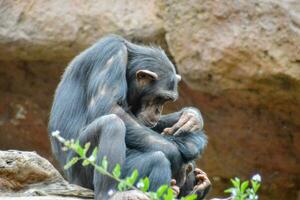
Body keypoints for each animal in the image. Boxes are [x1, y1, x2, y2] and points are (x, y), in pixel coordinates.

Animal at [48, 35, 210, 199]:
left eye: (166, 100)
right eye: (159, 98)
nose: (158, 110)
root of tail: (69, 179)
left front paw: (192, 118)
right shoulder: (111, 55)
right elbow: (108, 107)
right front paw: (177, 155)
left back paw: (198, 188)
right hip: (82, 170)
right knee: (113, 124)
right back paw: (109, 193)